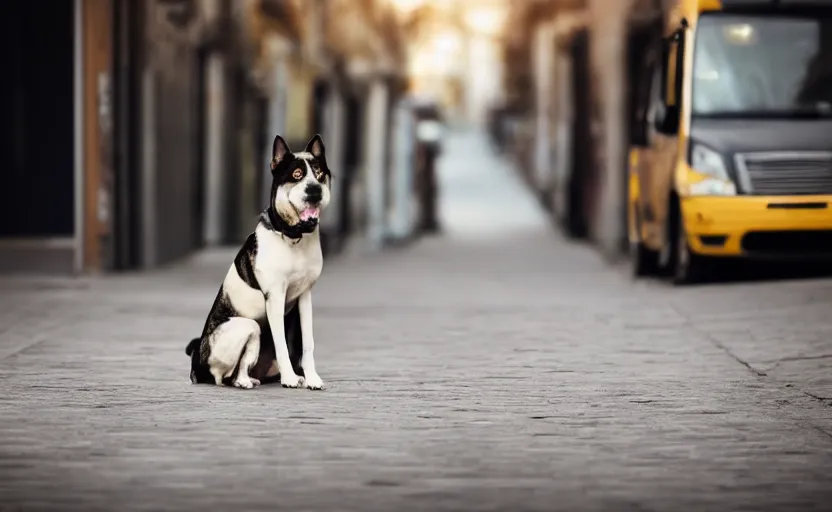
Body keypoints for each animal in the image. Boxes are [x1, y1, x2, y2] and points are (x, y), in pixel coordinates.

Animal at [185, 134, 332, 390]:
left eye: (319, 174)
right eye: (296, 175)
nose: (314, 190)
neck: (293, 236)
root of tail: (197, 366)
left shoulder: (305, 296)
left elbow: (308, 343)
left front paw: (312, 377)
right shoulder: (275, 297)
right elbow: (282, 343)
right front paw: (289, 378)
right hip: (248, 326)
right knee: (228, 376)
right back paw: (246, 381)